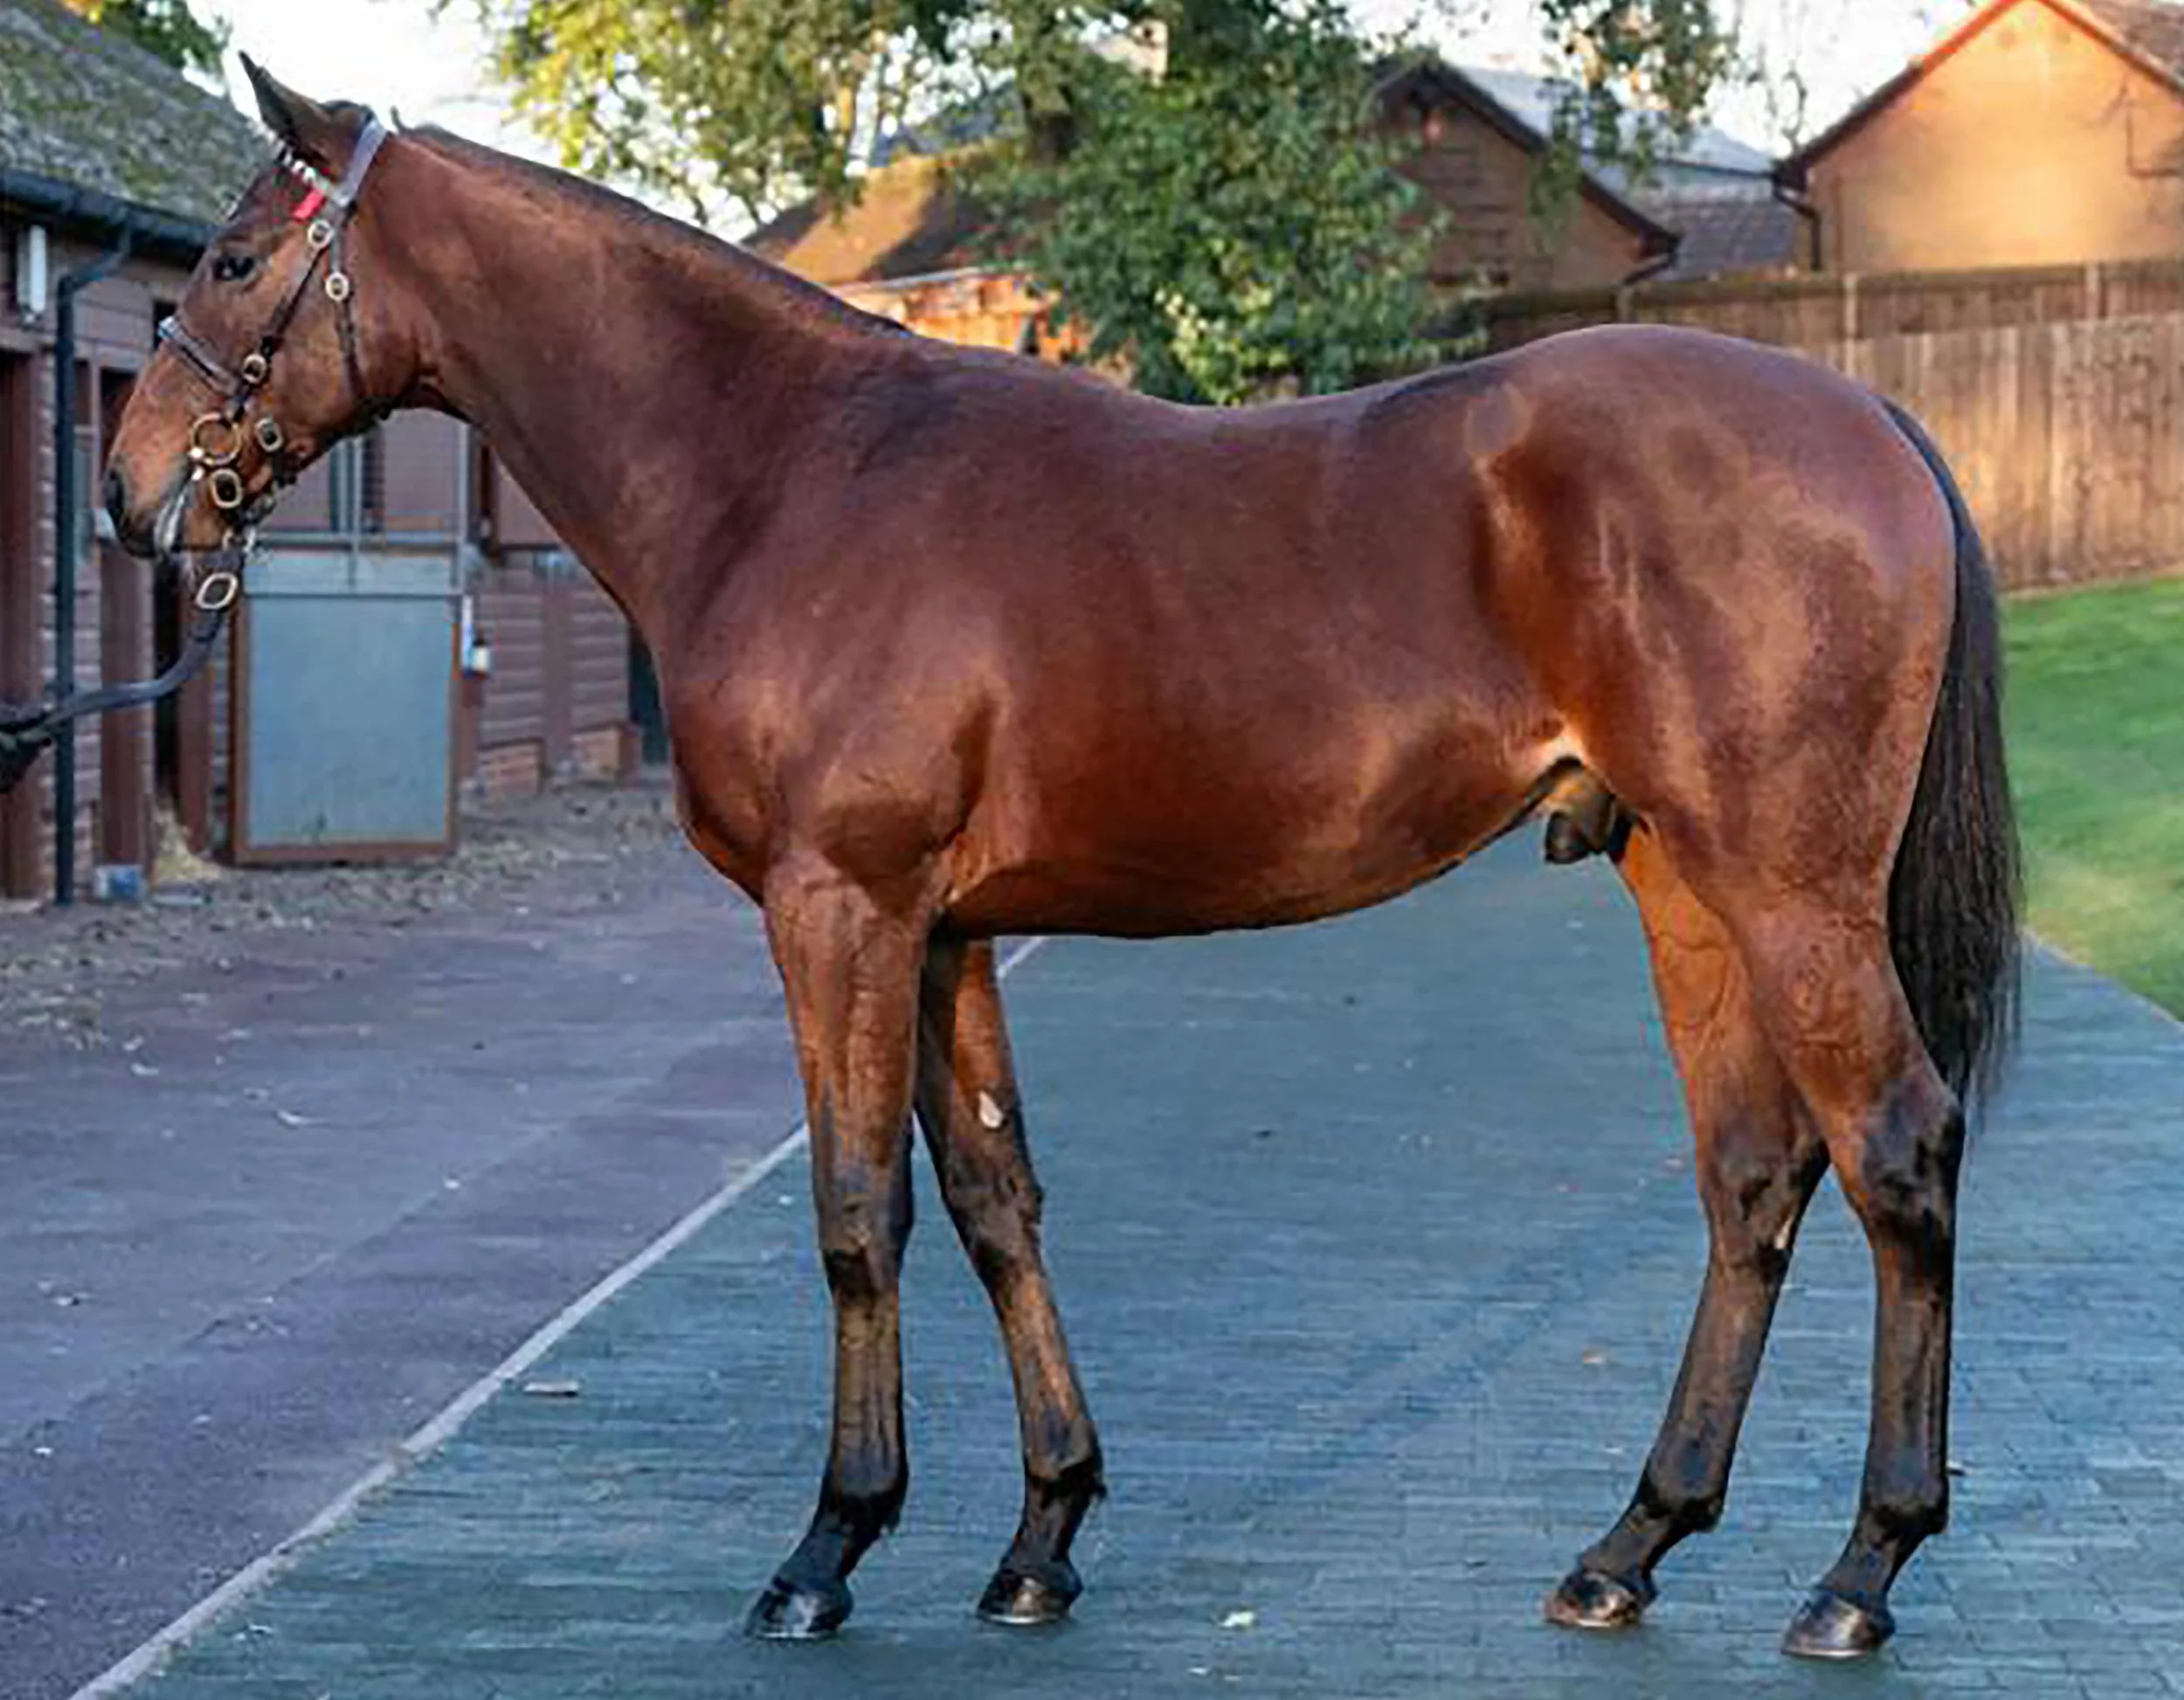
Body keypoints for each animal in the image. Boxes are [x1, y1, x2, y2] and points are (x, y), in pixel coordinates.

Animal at [106, 62, 2021, 1662]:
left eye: (229, 257)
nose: (134, 497)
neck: (790, 475)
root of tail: (1871, 422)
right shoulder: (945, 930)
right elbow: (990, 1199)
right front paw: (1040, 1537)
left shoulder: (840, 909)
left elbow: (855, 1212)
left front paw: (828, 1548)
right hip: (1680, 881)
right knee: (1753, 1174)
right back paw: (1627, 1547)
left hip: (1789, 894)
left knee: (1895, 1152)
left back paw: (1858, 1571)